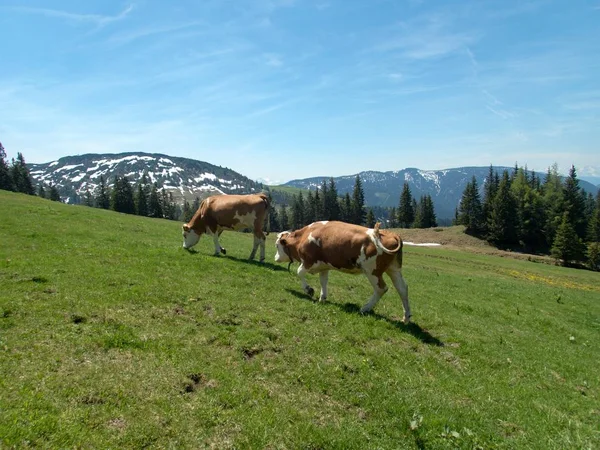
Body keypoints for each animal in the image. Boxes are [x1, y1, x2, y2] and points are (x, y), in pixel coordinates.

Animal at [274, 221, 410, 320]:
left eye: (276, 245)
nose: (275, 258)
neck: (305, 235)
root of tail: (391, 234)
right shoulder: (324, 266)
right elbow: (323, 281)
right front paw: (322, 298)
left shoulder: (308, 261)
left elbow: (299, 272)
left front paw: (309, 290)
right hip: (393, 269)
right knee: (402, 289)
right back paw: (406, 317)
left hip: (372, 271)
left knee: (381, 289)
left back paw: (364, 308)